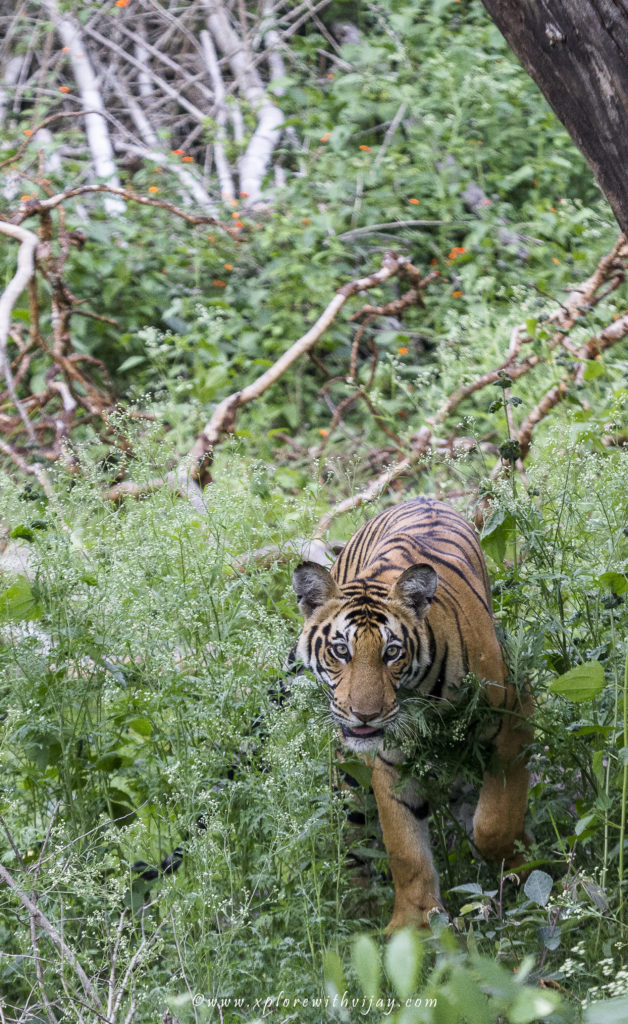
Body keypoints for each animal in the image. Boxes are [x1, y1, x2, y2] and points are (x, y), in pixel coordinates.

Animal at [292, 493, 528, 929]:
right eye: (341, 650)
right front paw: (415, 924)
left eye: (391, 653)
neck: (419, 696)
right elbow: (404, 847)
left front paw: (523, 867)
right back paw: (358, 912)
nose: (364, 715)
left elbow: (494, 823)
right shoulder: (388, 761)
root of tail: (423, 496)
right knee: (355, 836)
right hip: (347, 775)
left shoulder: (514, 718)